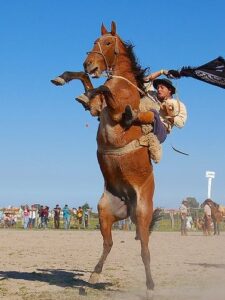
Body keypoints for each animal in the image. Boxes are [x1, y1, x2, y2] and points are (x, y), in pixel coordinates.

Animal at [51, 21, 159, 298]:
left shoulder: (118, 109)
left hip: (143, 213)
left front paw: (87, 91)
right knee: (109, 243)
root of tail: (128, 203)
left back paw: (150, 286)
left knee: (145, 251)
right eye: (94, 41)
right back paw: (93, 275)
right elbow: (86, 82)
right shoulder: (98, 111)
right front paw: (63, 78)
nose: (89, 62)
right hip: (104, 212)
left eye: (108, 42)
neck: (124, 84)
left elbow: (101, 89)